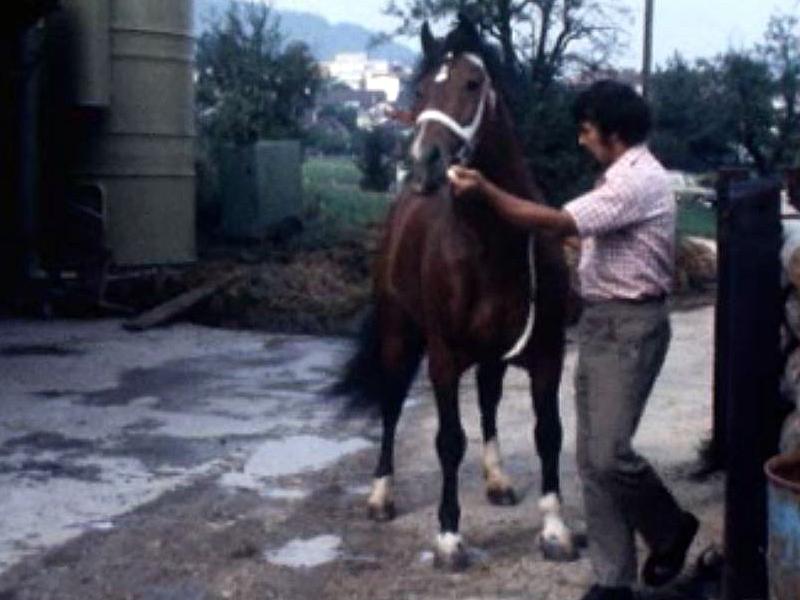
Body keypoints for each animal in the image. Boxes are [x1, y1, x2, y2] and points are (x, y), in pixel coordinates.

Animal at [332, 12, 576, 568]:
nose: (425, 162)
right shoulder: (443, 356)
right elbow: (447, 441)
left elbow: (548, 434)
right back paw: (381, 495)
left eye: (473, 82)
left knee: (487, 402)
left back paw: (497, 480)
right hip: (399, 338)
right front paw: (448, 536)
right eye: (420, 88)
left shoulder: (546, 353)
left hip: (490, 355)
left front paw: (555, 530)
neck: (493, 243)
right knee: (391, 404)